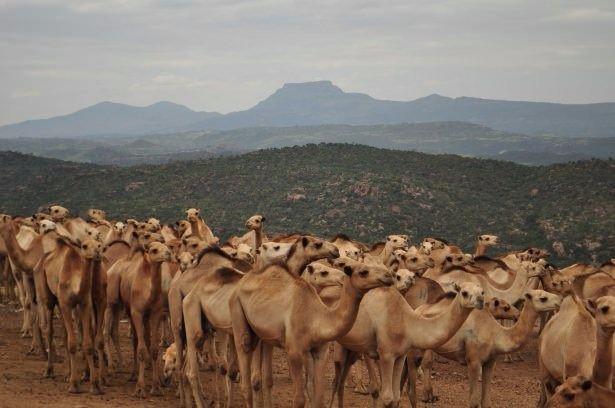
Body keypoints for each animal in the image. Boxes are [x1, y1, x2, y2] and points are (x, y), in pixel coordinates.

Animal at [34, 236, 104, 396]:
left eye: (98, 244)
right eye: (84, 246)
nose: (97, 252)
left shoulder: (84, 304)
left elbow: (87, 344)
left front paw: (95, 386)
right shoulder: (66, 304)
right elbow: (72, 343)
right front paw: (74, 385)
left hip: (60, 303)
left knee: (65, 334)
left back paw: (67, 374)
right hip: (47, 296)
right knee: (49, 330)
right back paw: (49, 371)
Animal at [414, 288, 564, 406]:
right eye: (543, 298)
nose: (560, 300)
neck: (496, 334)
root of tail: (418, 310)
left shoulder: (491, 361)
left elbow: (486, 400)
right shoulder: (473, 361)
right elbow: (474, 402)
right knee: (426, 363)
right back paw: (428, 397)